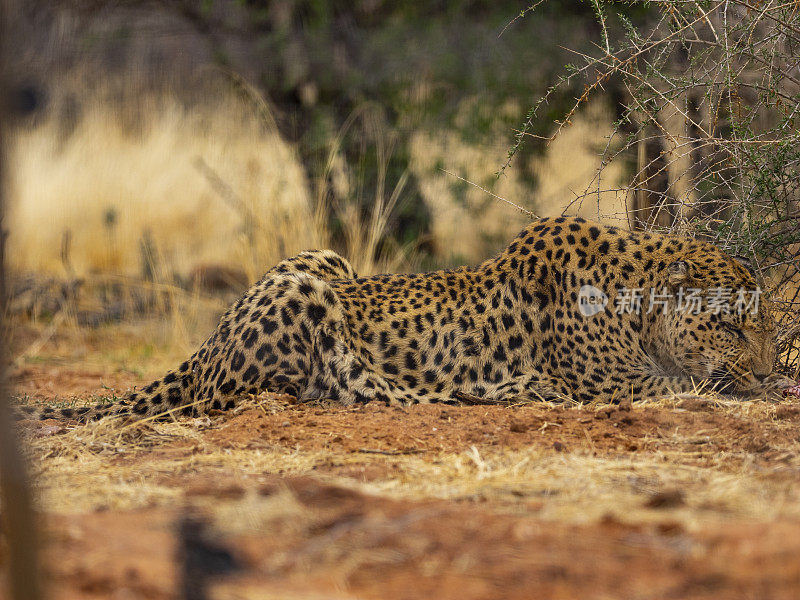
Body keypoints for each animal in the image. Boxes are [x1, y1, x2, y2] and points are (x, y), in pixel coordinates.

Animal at [18, 216, 792, 422]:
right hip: (306, 291)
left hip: (324, 255)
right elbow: (701, 386)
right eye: (728, 324)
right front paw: (767, 386)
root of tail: (208, 343)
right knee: (239, 395)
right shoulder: (619, 387)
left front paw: (776, 377)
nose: (762, 360)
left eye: (764, 325)